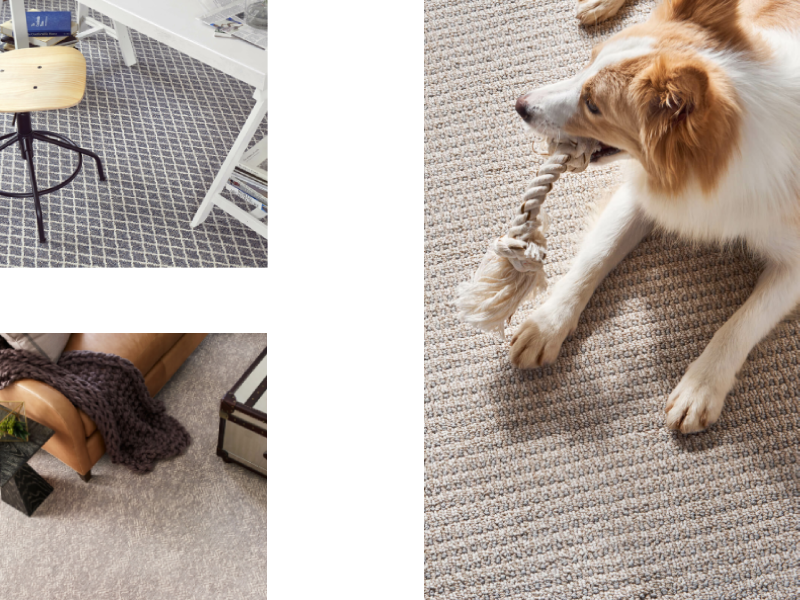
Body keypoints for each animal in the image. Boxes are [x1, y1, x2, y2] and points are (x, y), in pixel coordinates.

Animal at [510, 0, 800, 432]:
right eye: (587, 62)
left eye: (593, 105)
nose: (521, 104)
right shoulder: (644, 194)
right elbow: (595, 256)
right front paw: (547, 325)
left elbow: (744, 320)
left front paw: (700, 387)